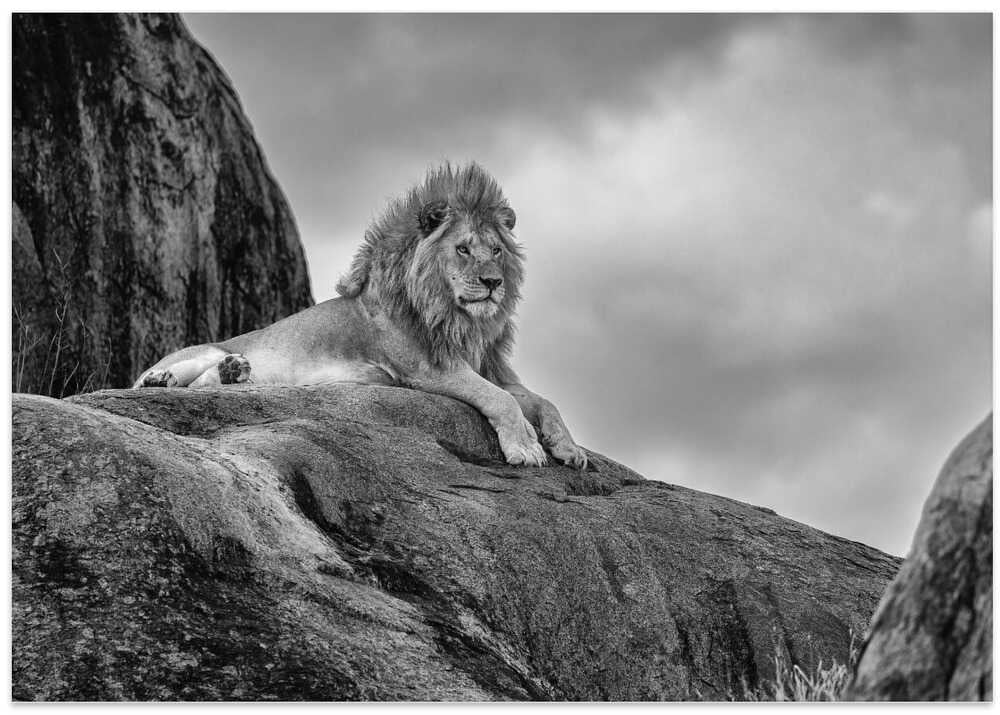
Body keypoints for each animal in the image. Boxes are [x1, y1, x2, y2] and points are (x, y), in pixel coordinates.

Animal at [133, 163, 587, 469]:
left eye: (496, 250)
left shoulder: (484, 367)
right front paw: (526, 447)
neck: (457, 317)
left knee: (207, 383)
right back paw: (162, 379)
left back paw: (232, 373)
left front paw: (568, 447)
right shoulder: (428, 368)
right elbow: (500, 398)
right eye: (462, 249)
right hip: (201, 350)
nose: (493, 282)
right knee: (157, 381)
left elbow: (540, 400)